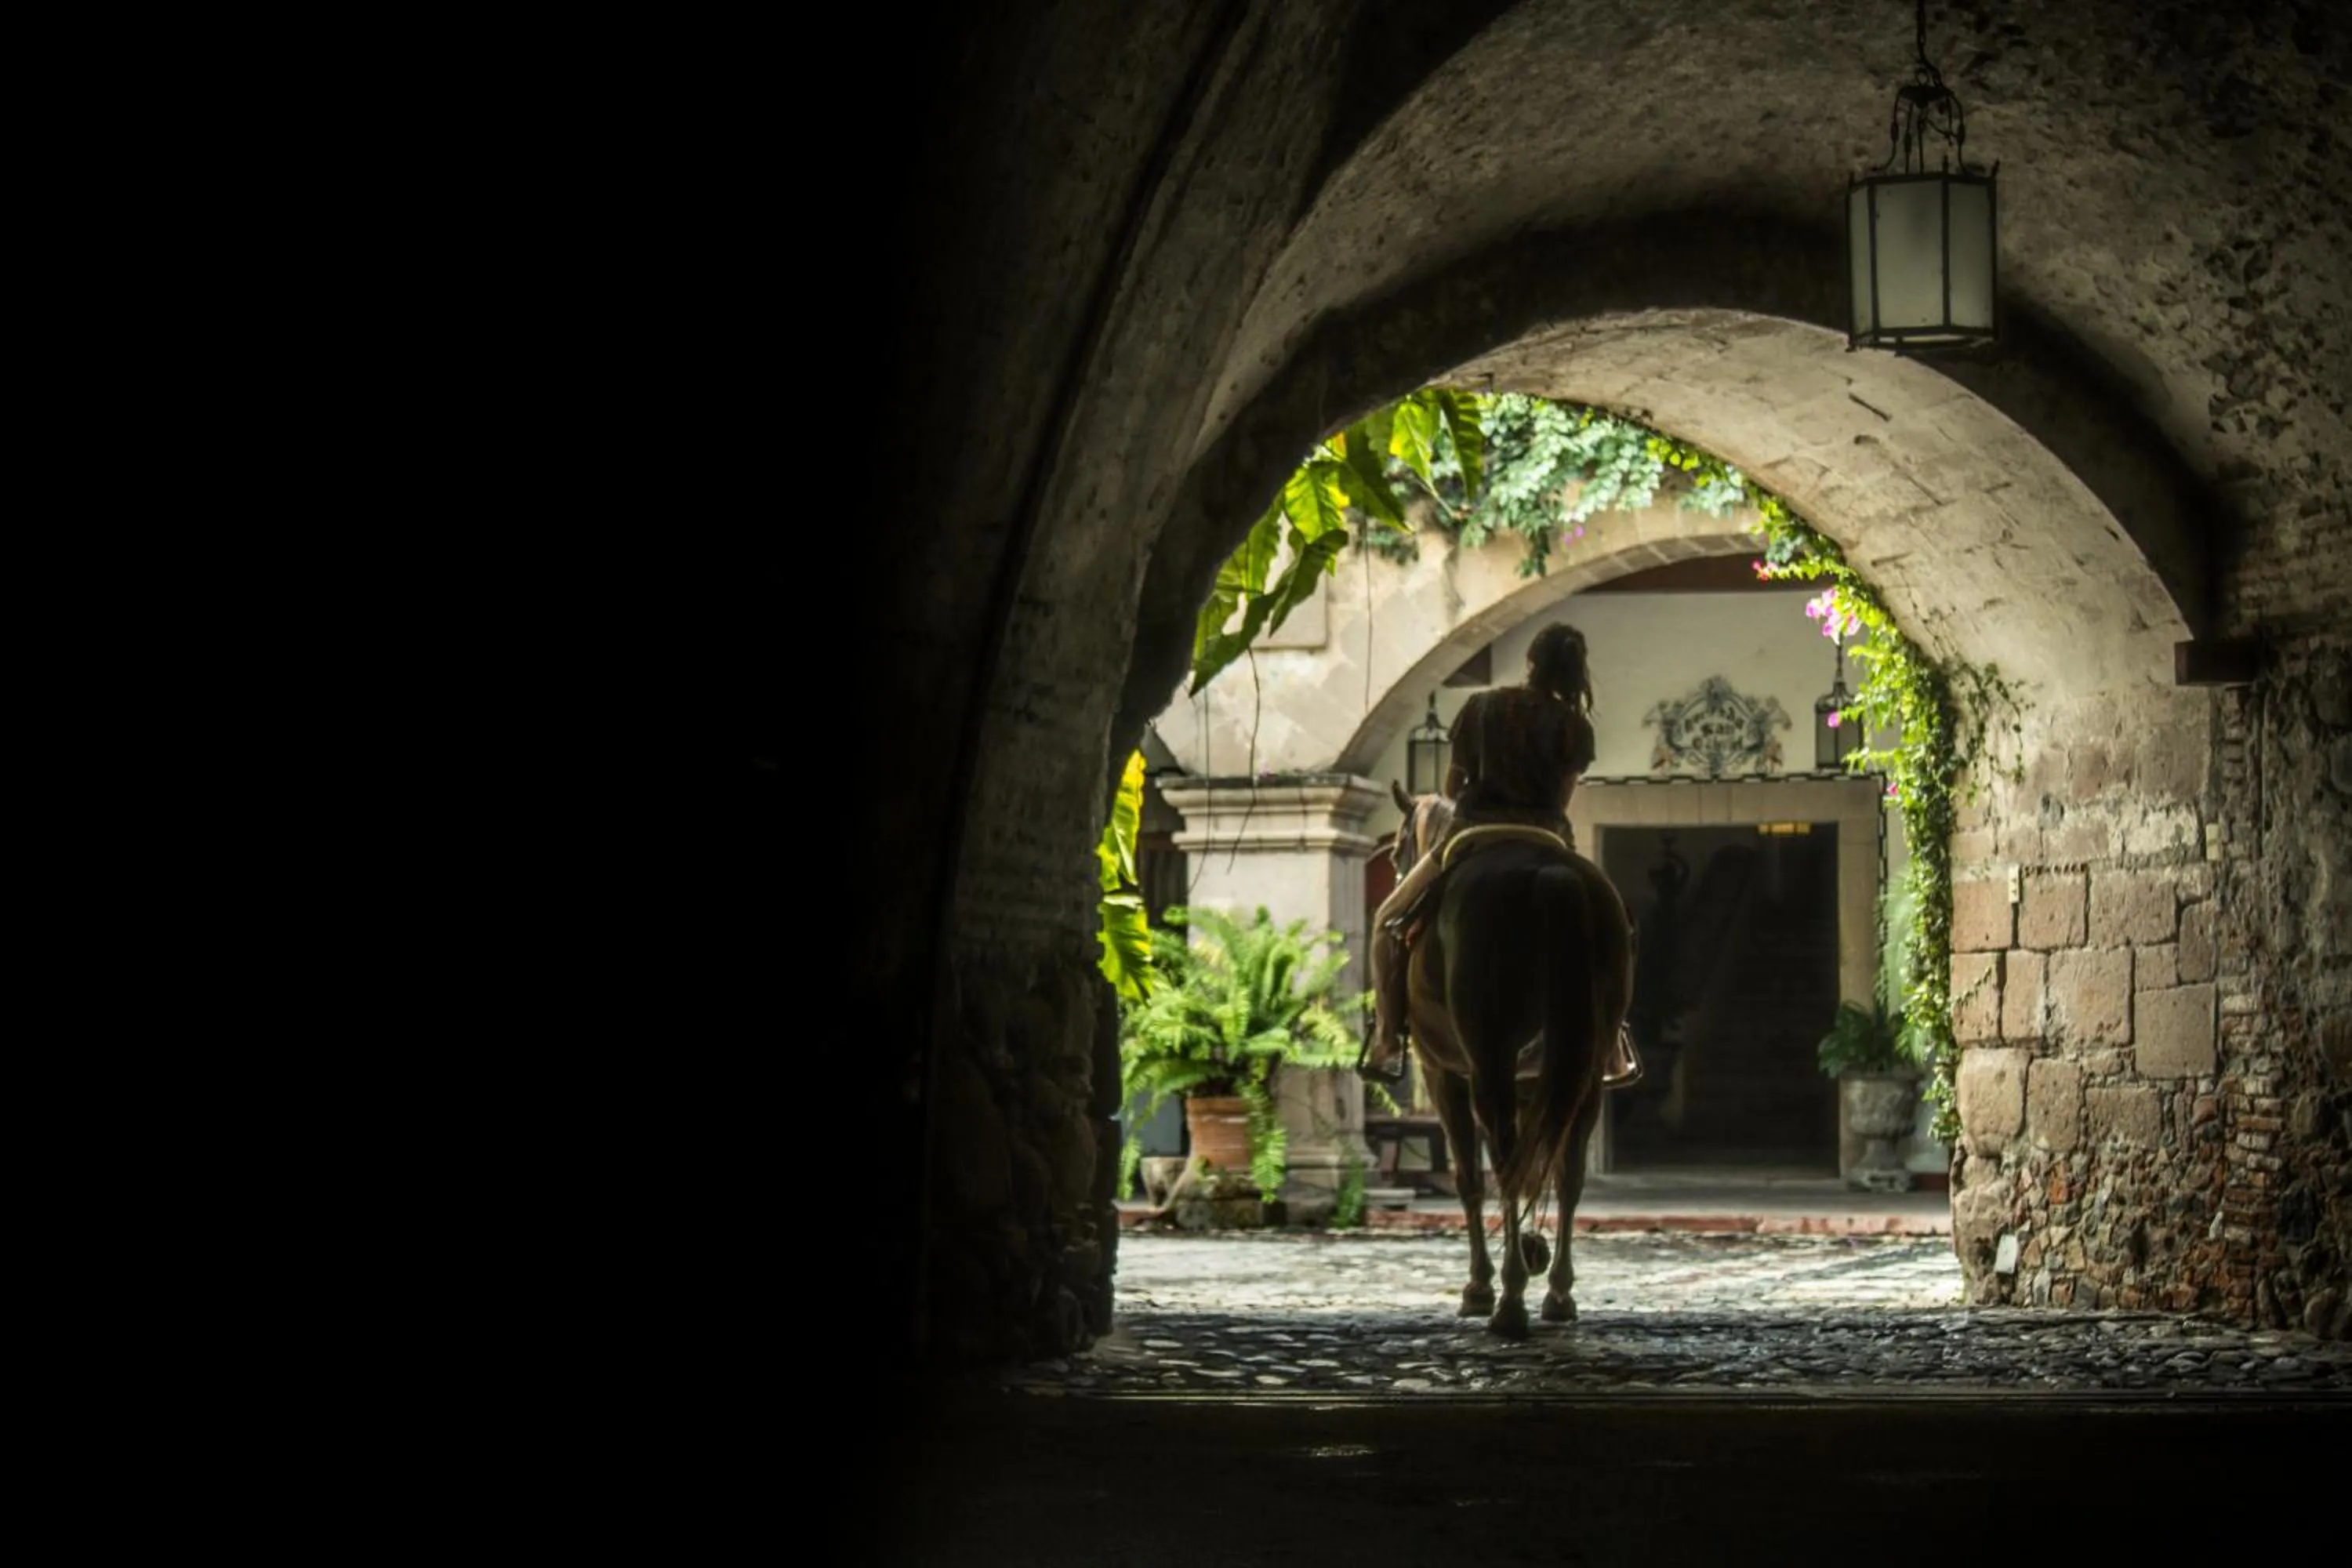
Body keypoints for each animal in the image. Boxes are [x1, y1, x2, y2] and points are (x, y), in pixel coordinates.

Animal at [1386, 782, 1636, 1337]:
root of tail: (1553, 877)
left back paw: (1510, 1301)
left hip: (1490, 1065)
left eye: (1395, 853)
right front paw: (1526, 1251)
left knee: (1504, 1167)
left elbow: (1470, 1179)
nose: (1397, 873)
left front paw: (1481, 1285)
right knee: (1566, 1176)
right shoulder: (1532, 1083)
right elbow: (1538, 1165)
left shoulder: (1444, 1073)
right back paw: (1557, 1292)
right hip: (1583, 1074)